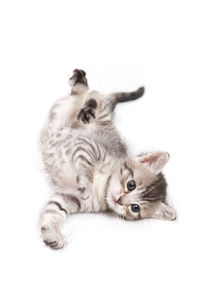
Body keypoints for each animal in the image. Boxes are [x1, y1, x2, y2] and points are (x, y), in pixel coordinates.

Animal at [39, 69, 176, 250]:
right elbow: (86, 168)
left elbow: (53, 212)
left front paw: (51, 234)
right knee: (92, 94)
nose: (119, 200)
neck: (102, 187)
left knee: (84, 94)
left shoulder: (69, 197)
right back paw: (83, 90)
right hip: (97, 111)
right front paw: (86, 185)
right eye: (131, 185)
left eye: (135, 208)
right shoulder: (88, 146)